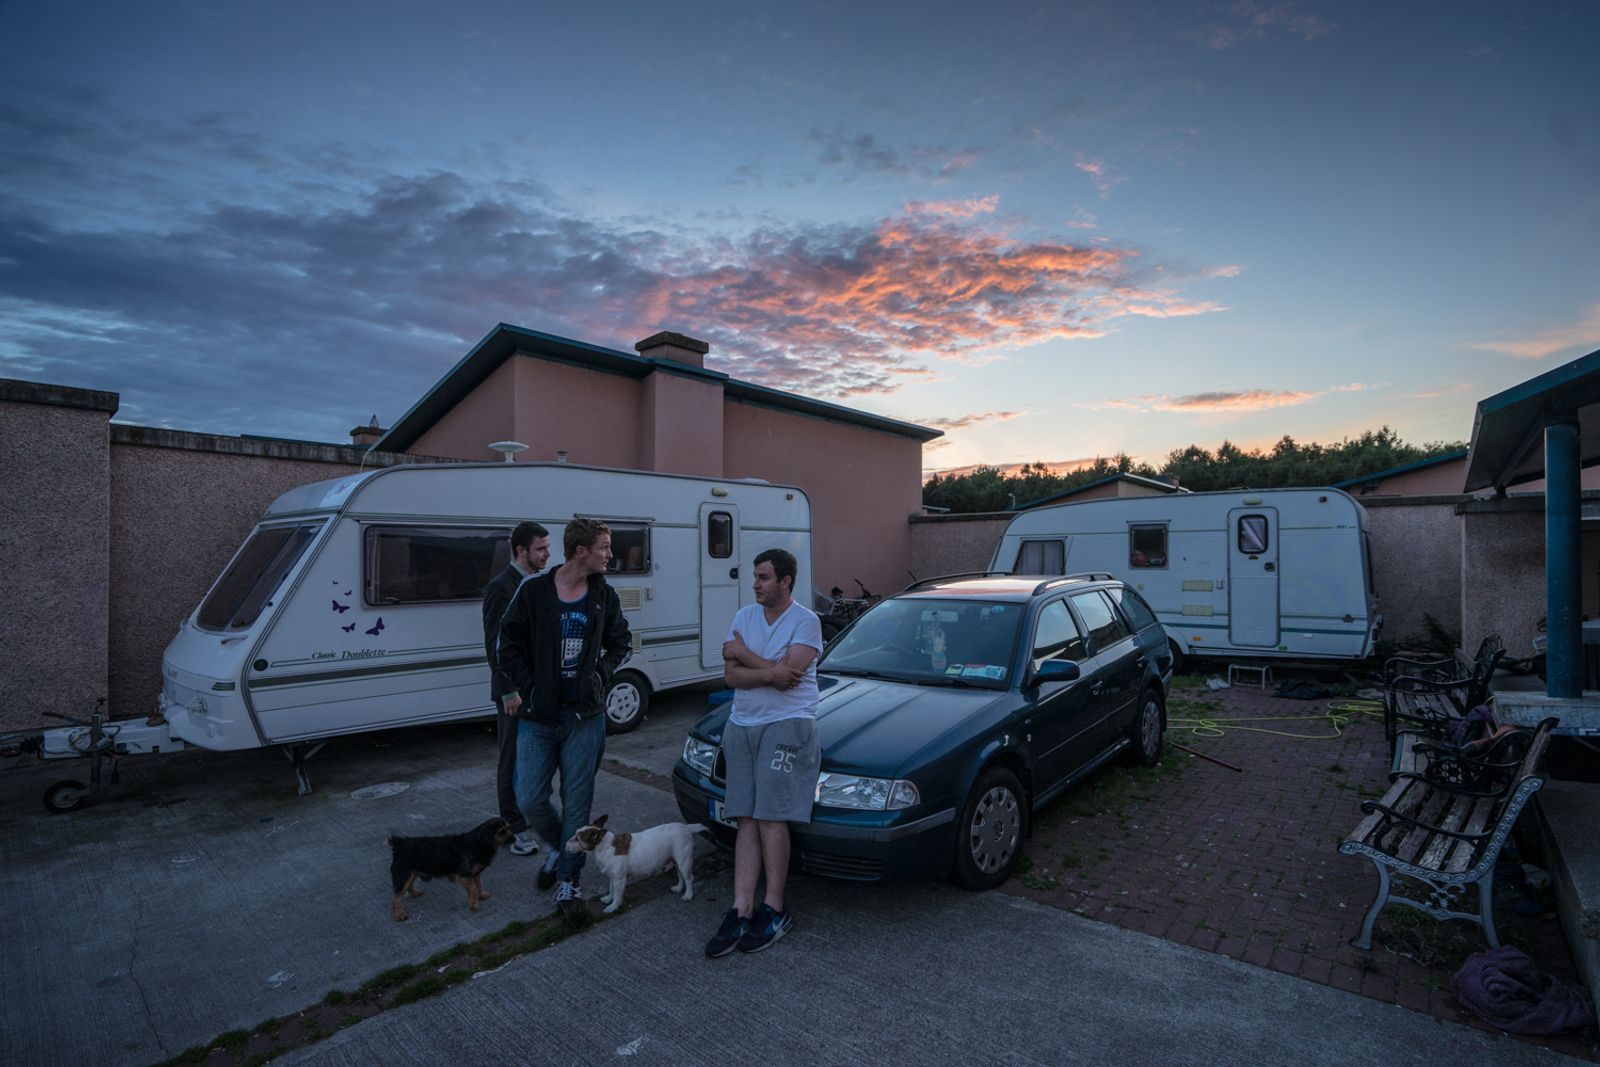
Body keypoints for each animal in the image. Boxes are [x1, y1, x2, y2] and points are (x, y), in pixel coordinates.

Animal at [569, 812, 707, 915]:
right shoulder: (612, 877)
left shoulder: (619, 879)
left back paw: (688, 895)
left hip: (684, 861)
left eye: (577, 839)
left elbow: (617, 895)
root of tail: (686, 828)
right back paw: (678, 888)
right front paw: (608, 898)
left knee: (689, 878)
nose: (566, 844)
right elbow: (612, 890)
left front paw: (613, 906)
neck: (604, 846)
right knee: (680, 875)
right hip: (678, 861)